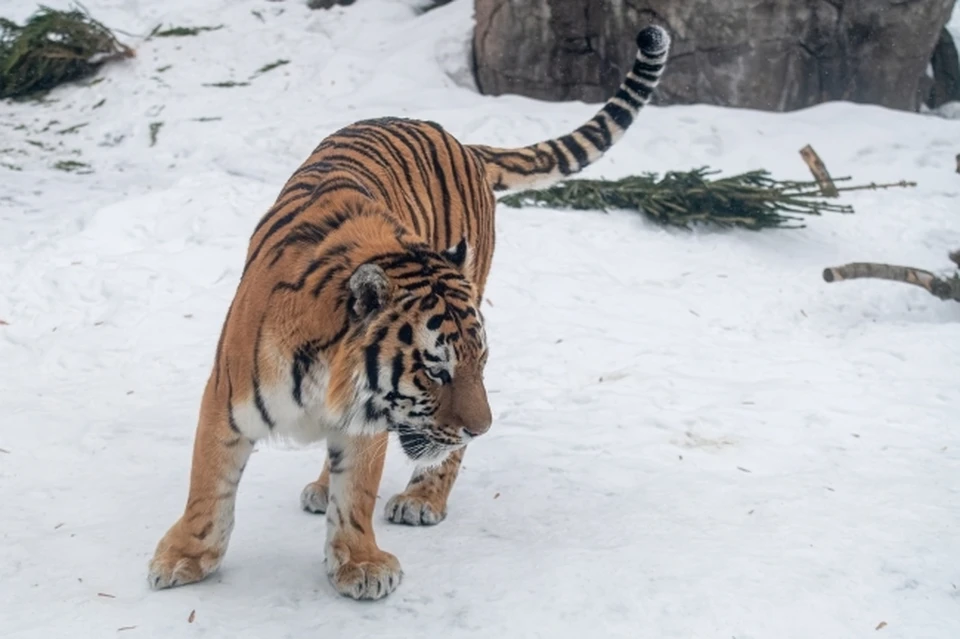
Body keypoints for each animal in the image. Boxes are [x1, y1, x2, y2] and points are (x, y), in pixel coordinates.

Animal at [148, 23, 676, 600]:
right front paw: (184, 557)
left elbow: (356, 493)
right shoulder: (225, 398)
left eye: (476, 365)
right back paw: (324, 486)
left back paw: (422, 498)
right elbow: (208, 484)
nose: (481, 429)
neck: (322, 374)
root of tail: (461, 142)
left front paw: (359, 563)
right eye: (434, 371)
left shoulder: (369, 421)